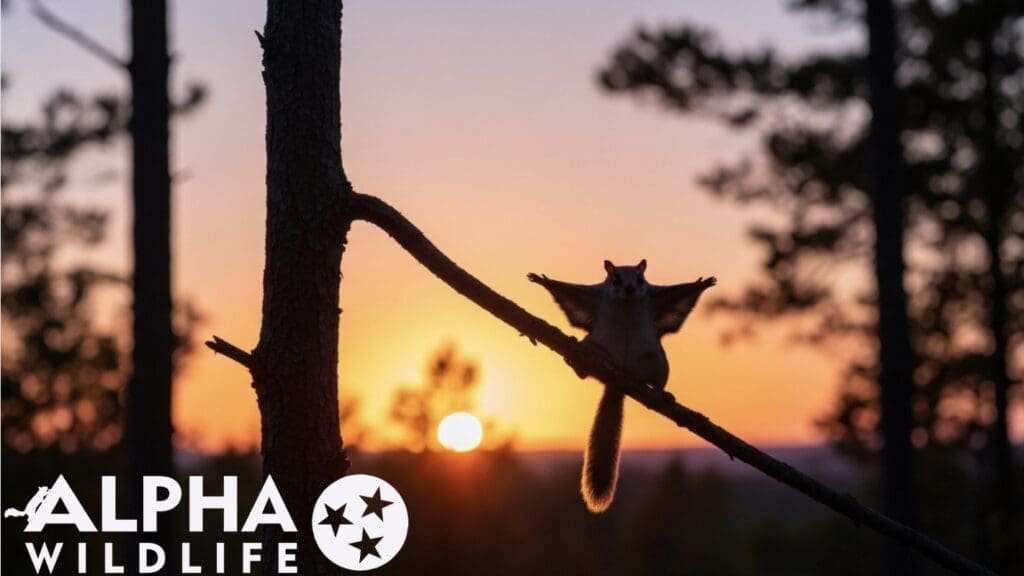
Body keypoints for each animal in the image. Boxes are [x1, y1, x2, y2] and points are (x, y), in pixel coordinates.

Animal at [528, 259, 716, 513]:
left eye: (640, 278)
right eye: (615, 278)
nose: (629, 289)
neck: (626, 305)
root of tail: (620, 377)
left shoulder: (659, 299)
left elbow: (682, 293)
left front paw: (702, 283)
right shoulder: (591, 297)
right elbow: (568, 292)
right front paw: (543, 280)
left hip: (656, 362)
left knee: (657, 381)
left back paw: (664, 394)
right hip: (596, 346)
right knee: (585, 364)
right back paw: (576, 360)